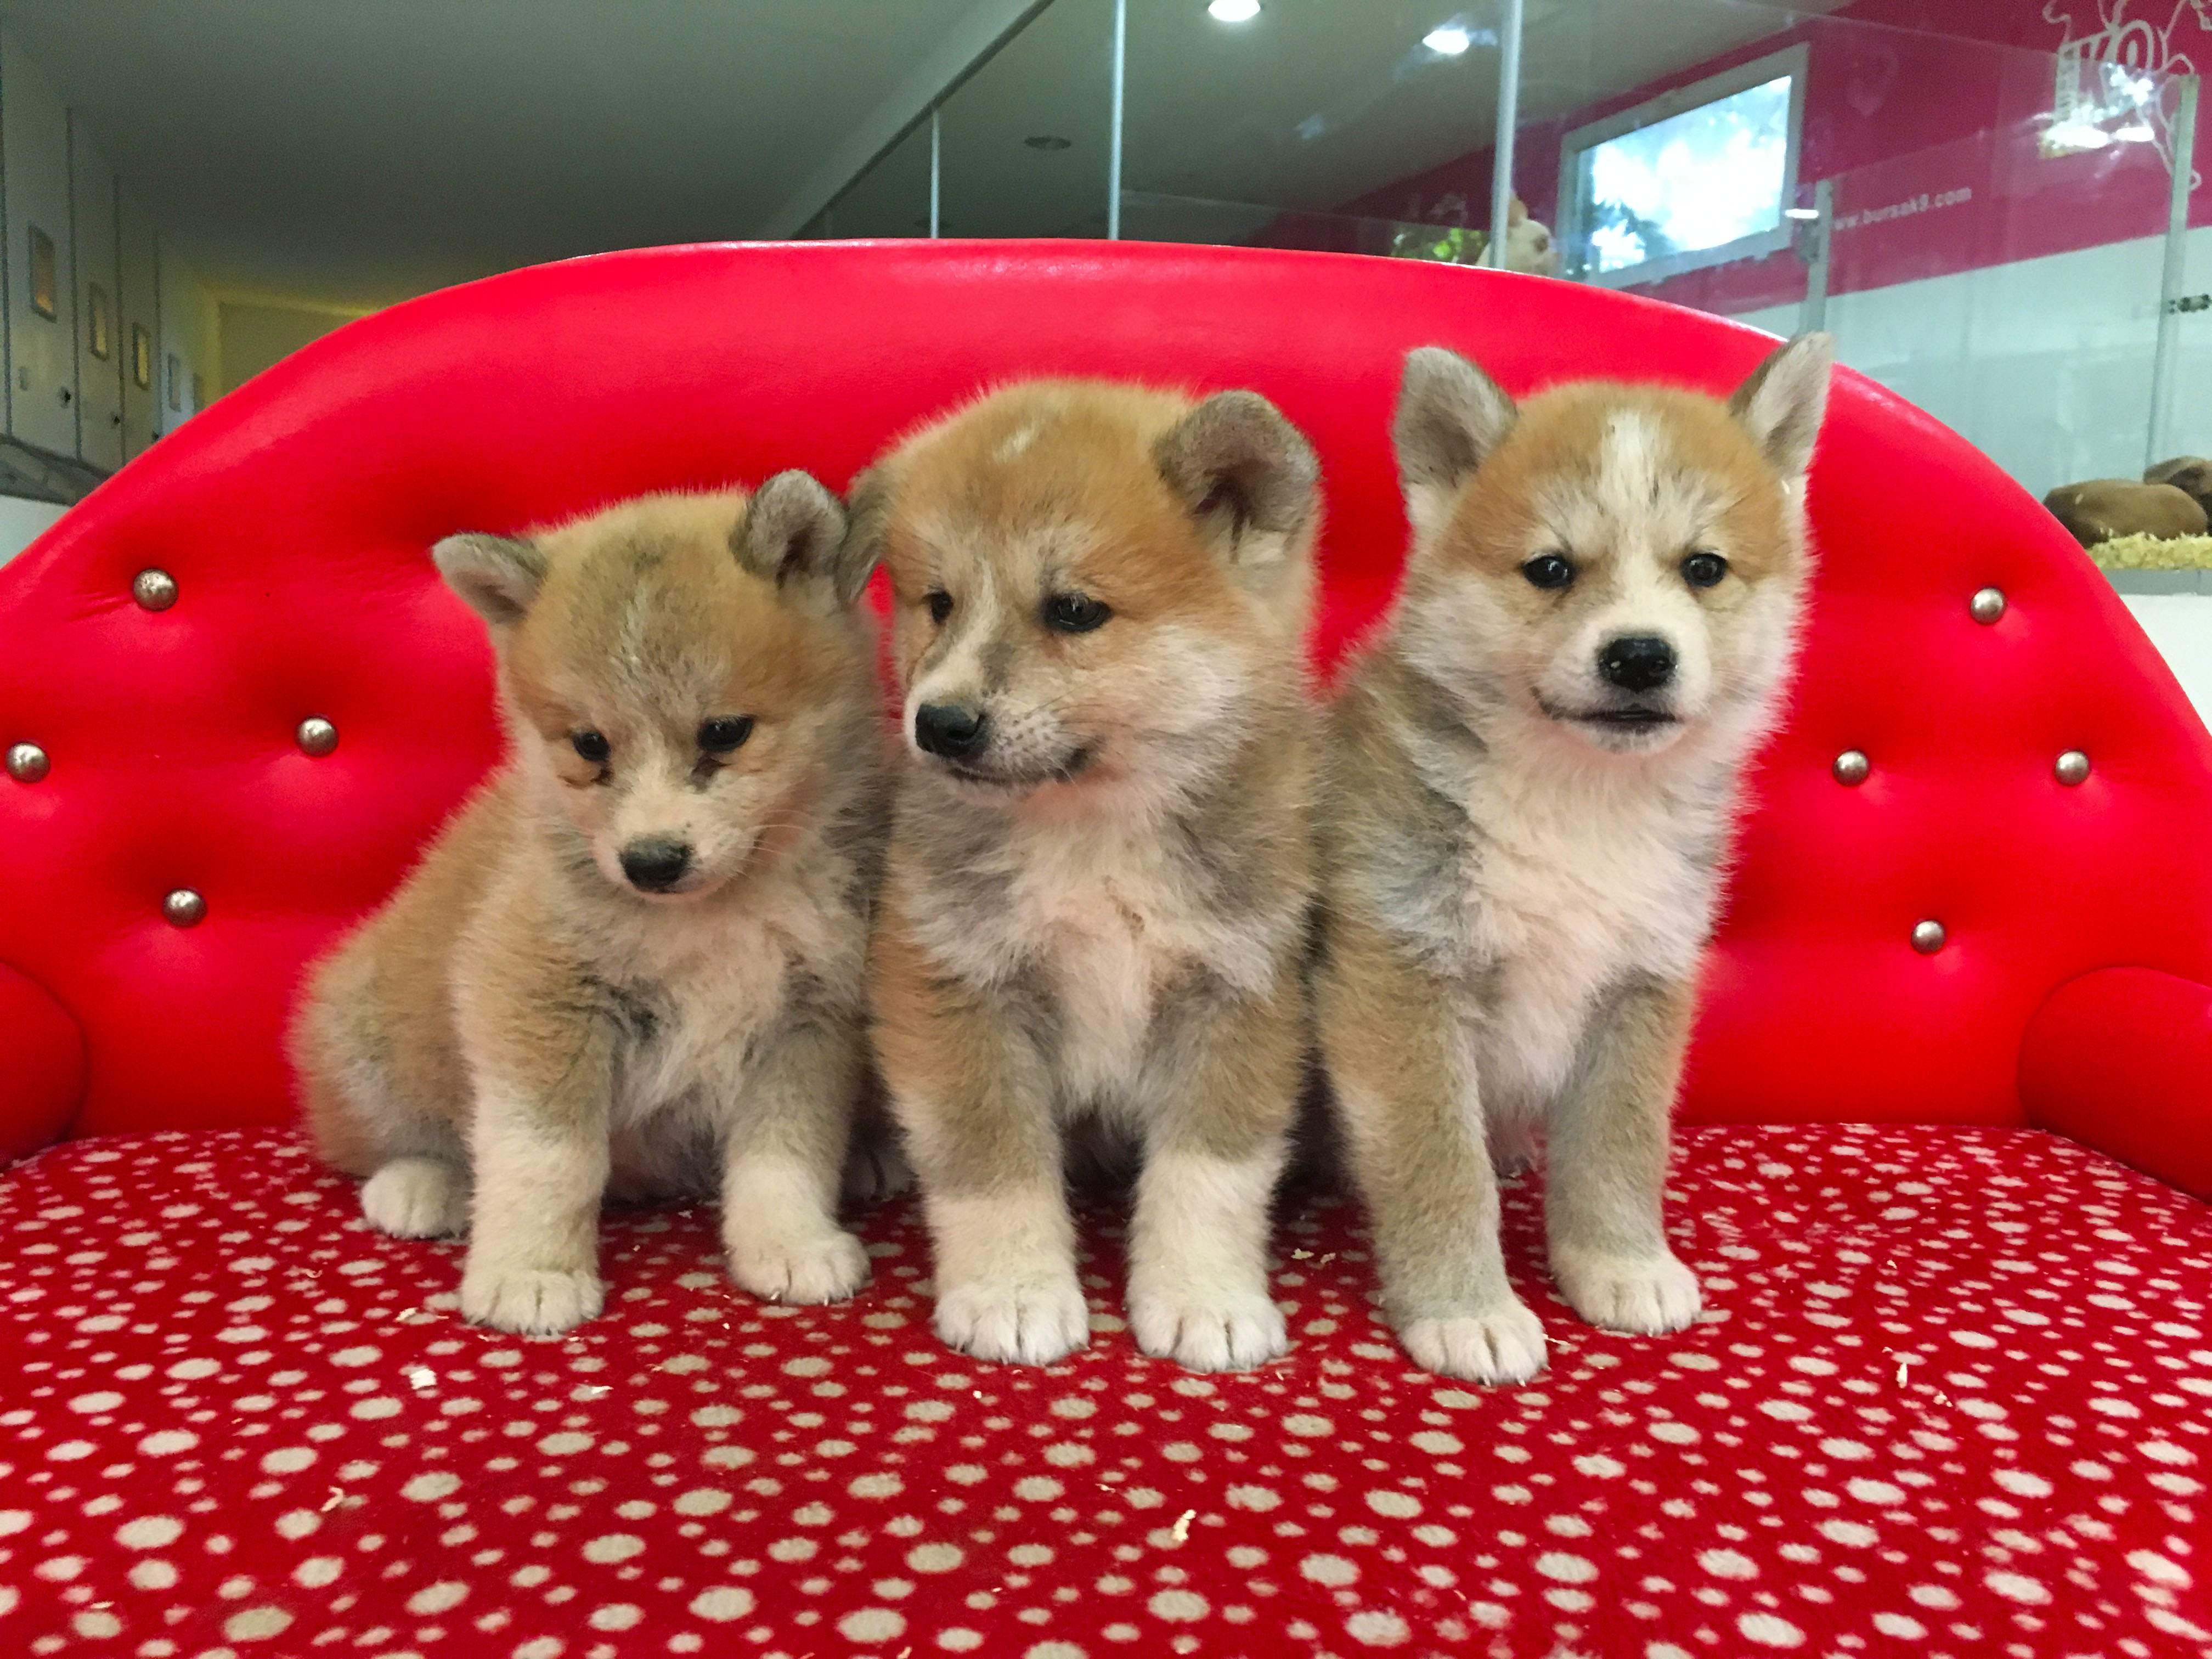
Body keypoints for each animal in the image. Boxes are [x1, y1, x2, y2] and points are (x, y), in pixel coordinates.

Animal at [292, 479, 888, 1336]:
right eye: (589, 745)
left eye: (725, 732)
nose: (651, 861)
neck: (713, 918)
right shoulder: (537, 998)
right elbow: (547, 1158)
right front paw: (530, 1271)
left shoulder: (808, 1017)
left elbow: (785, 1156)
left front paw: (789, 1244)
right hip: (368, 1039)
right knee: (388, 1139)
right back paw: (424, 1185)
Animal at [853, 379, 1322, 1371]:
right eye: (938, 602)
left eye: (1071, 610)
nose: (939, 722)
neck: (1091, 837)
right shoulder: (956, 985)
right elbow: (992, 1166)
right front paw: (1014, 1292)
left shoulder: (1238, 991)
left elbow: (1208, 1176)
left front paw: (1206, 1298)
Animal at [1315, 333, 1833, 1383]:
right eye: (1549, 568)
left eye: (1703, 567)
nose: (1639, 655)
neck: (1580, 807)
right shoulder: (1401, 975)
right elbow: (1438, 1162)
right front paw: (1465, 1307)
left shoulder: (1643, 980)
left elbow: (1617, 1148)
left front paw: (1620, 1263)